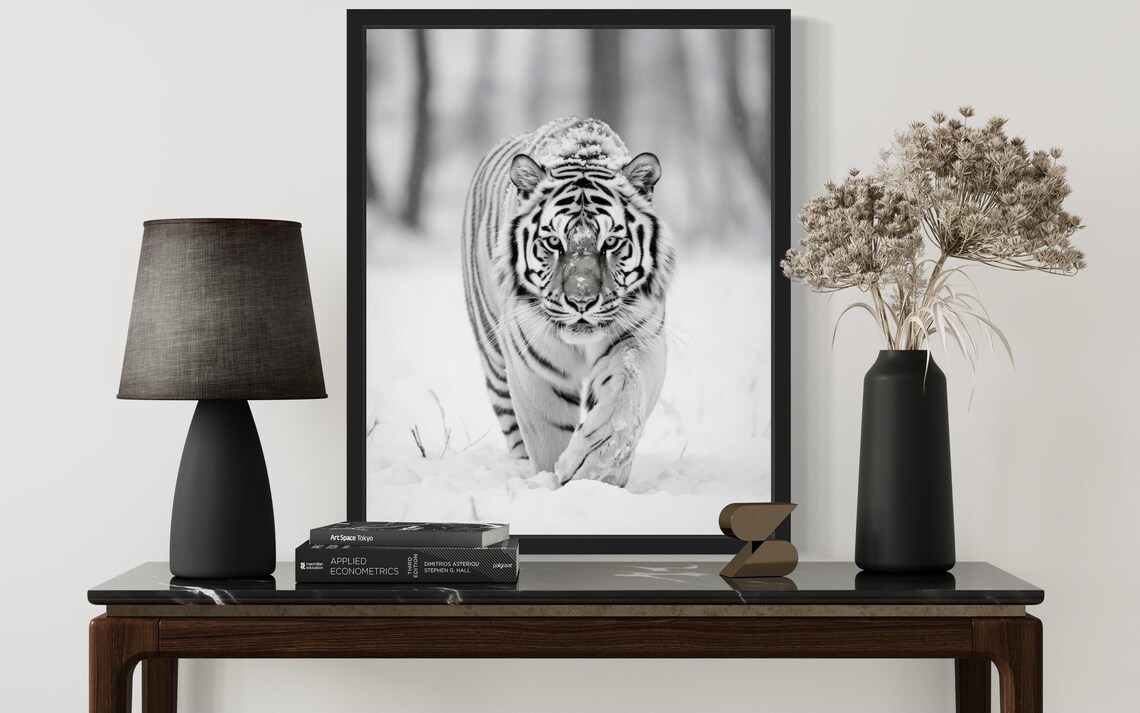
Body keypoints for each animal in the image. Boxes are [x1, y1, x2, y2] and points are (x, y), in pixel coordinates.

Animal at [461, 117, 676, 487]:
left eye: (611, 242)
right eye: (553, 242)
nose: (581, 301)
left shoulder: (641, 338)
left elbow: (624, 400)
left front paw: (594, 471)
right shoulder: (535, 365)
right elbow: (549, 434)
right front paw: (555, 482)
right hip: (494, 360)